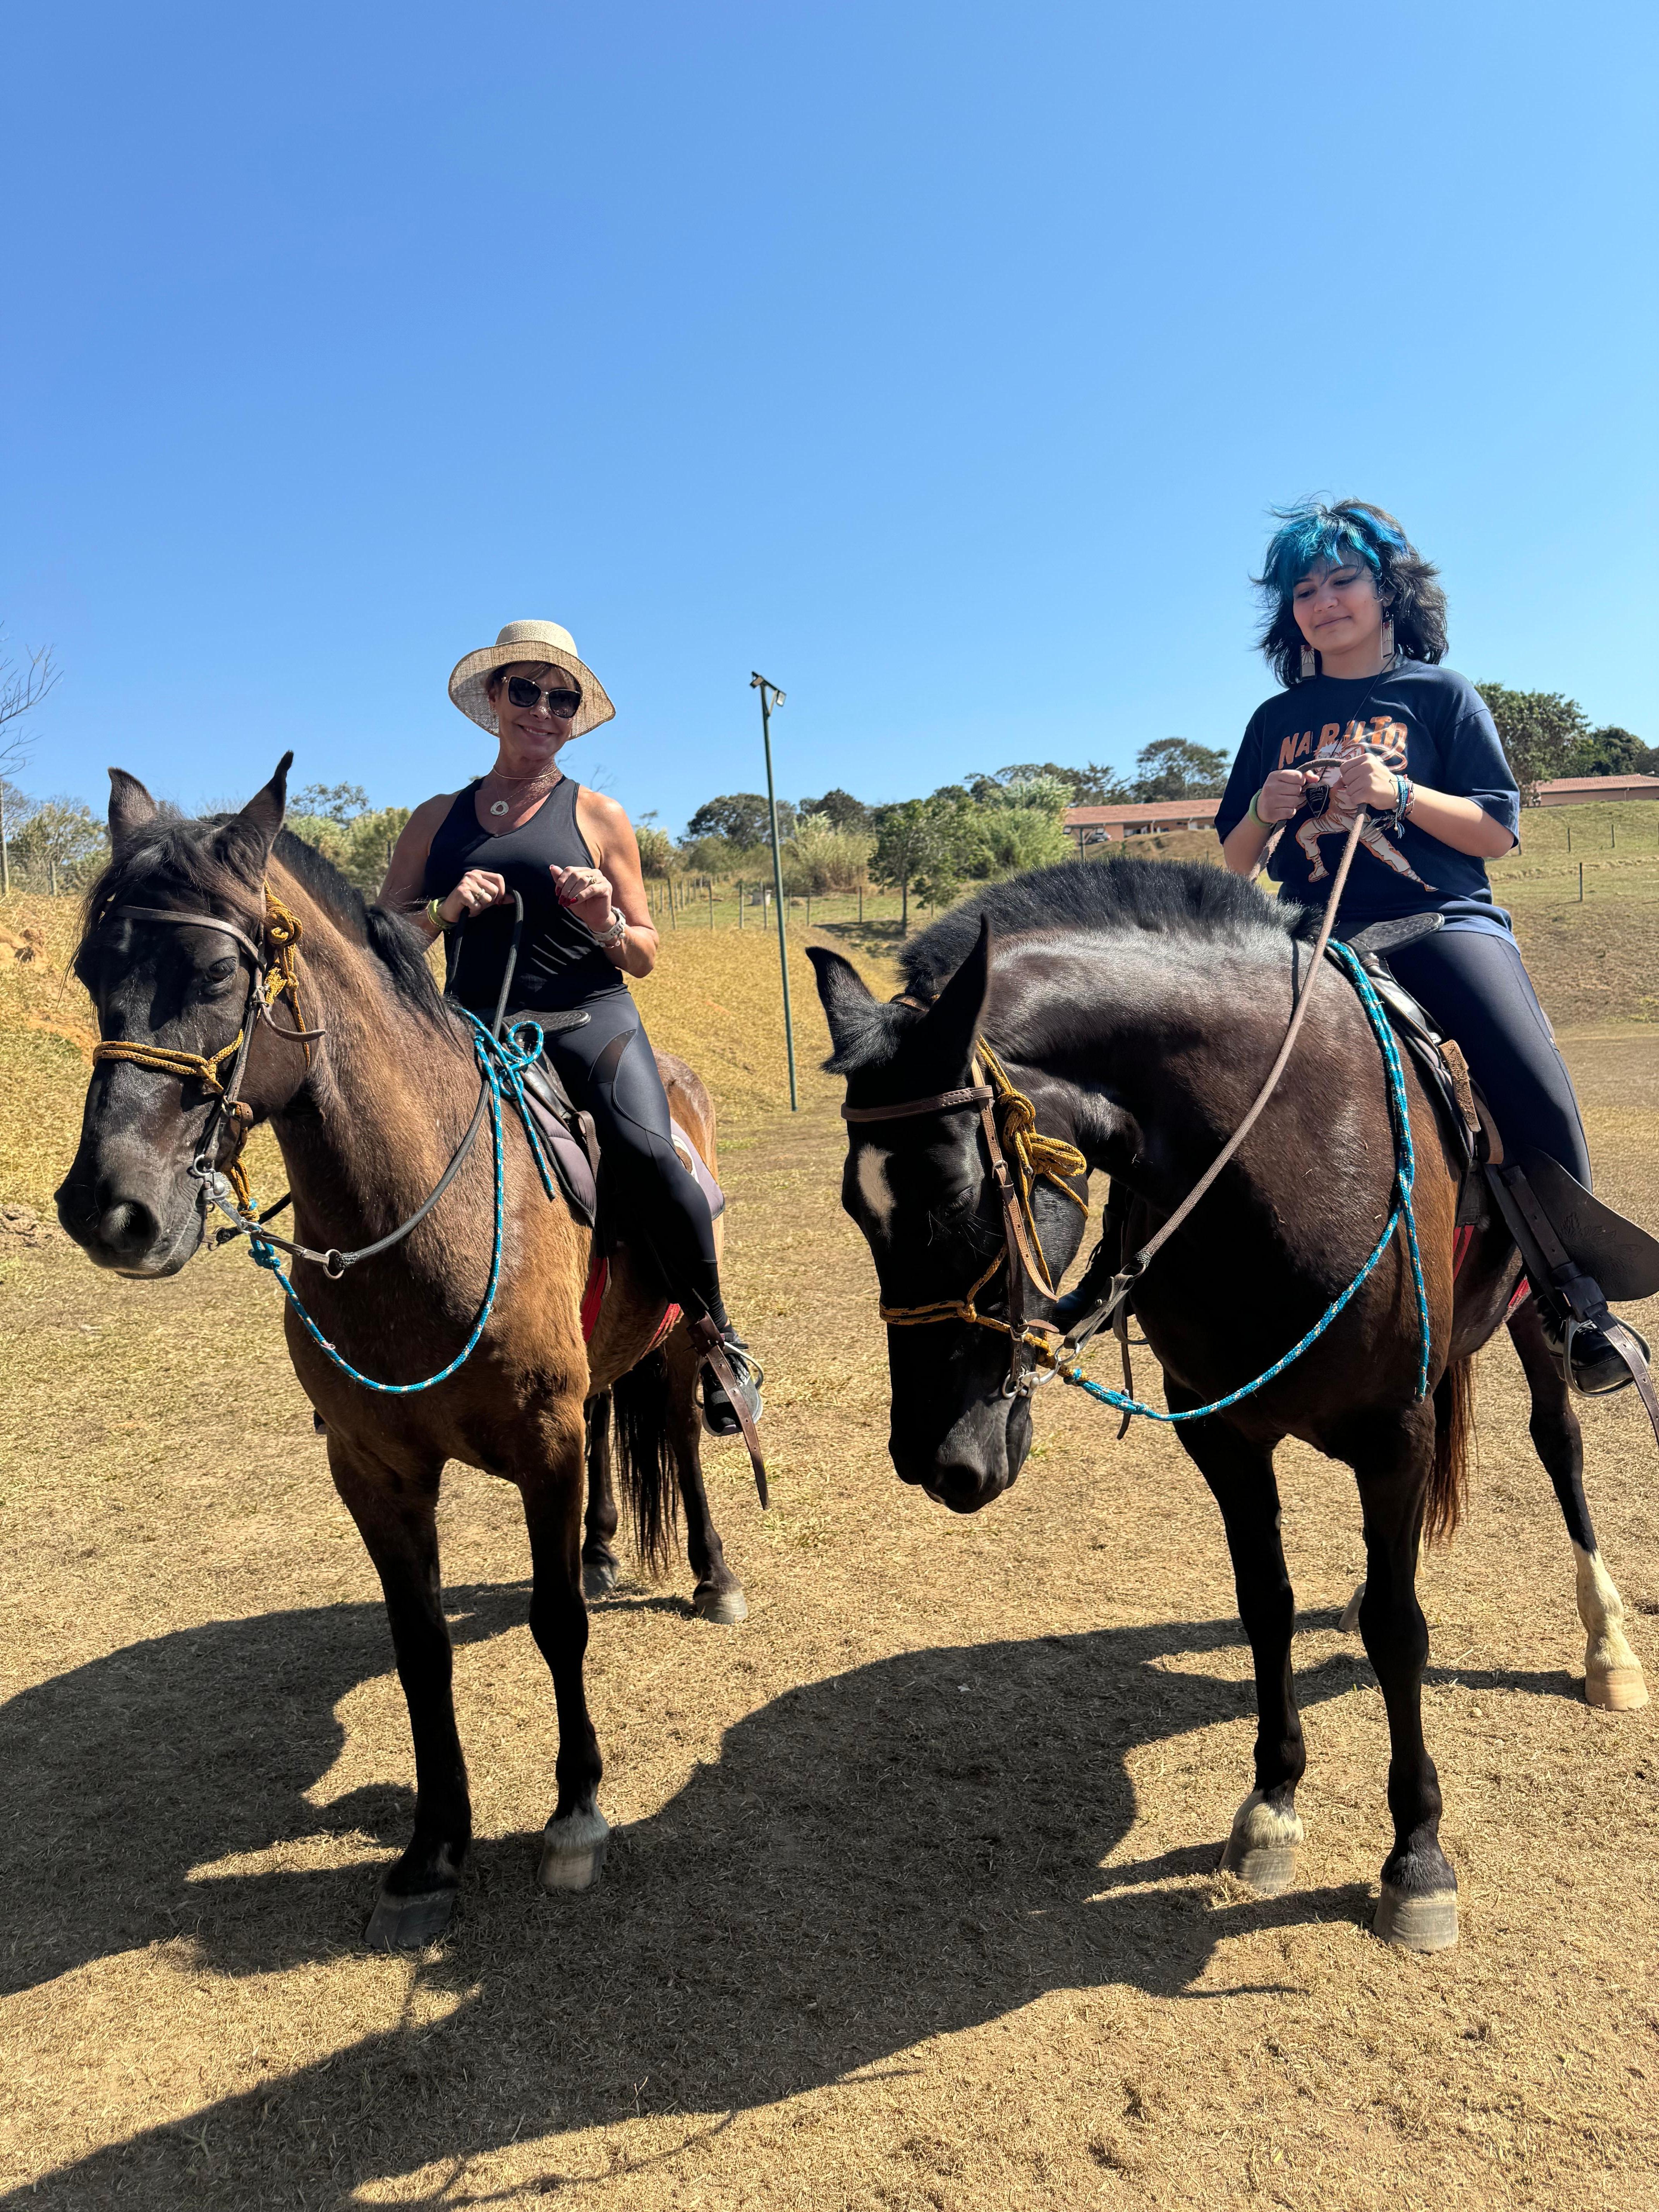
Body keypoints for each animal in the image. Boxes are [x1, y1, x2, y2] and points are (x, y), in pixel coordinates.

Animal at [57, 761, 747, 1955]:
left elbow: (554, 1622)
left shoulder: (544, 1440)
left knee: (683, 1442)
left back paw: (711, 1575)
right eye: (92, 971)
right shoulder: (374, 1470)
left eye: (217, 973)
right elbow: (420, 1647)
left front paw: (574, 1814)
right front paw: (433, 1851)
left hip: (680, 1339)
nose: (110, 1210)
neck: (419, 1209)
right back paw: (605, 1549)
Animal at [809, 858, 1654, 1955]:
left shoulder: (1395, 1431)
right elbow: (1268, 1607)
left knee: (1560, 1447)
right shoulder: (1219, 1431)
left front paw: (1418, 1859)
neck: (1287, 1142)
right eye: (853, 1206)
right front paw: (1271, 1806)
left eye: (956, 1191)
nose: (933, 1456)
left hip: (1532, 1324)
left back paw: (1608, 1646)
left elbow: (1401, 1630)